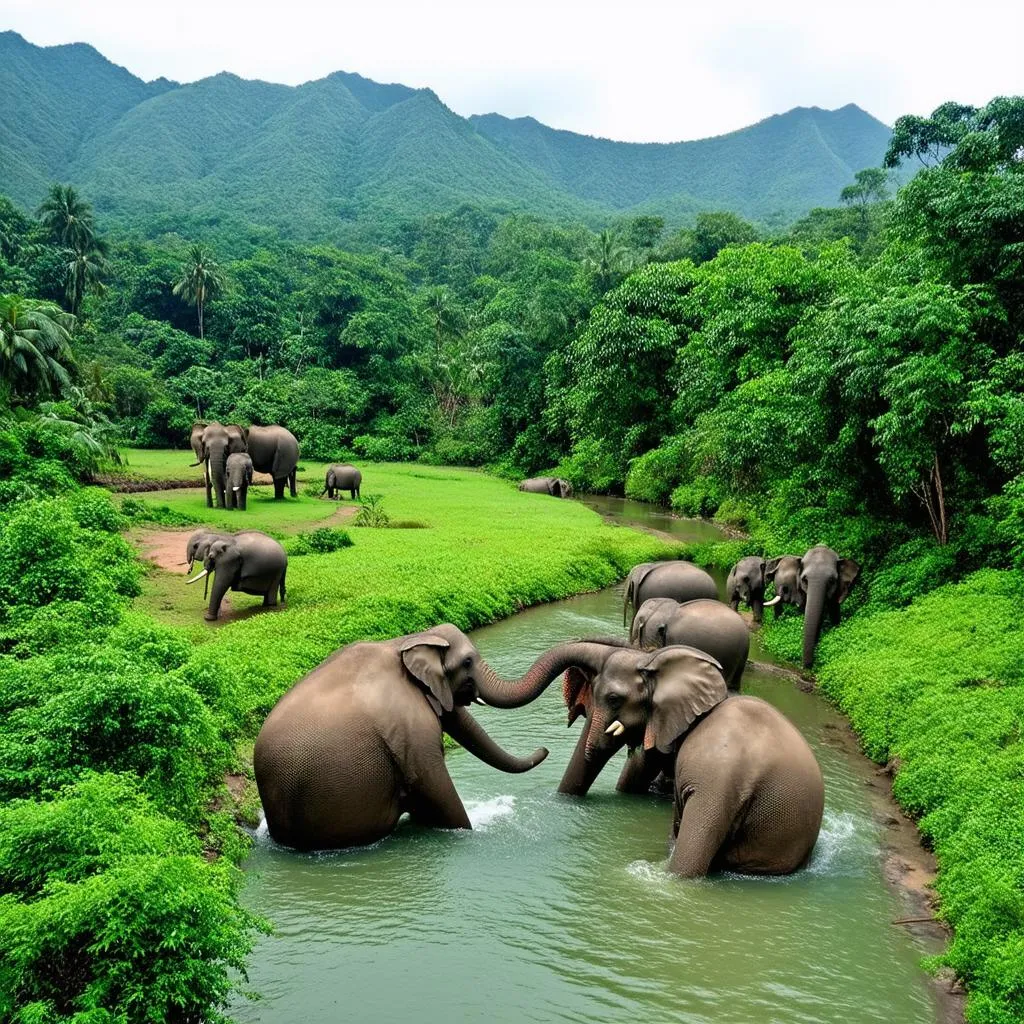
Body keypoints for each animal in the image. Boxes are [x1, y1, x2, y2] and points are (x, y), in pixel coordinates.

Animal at [249, 622, 598, 847]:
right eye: (467, 662)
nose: (546, 748)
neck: (407, 641)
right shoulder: (411, 730)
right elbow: (433, 786)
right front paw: (468, 832)